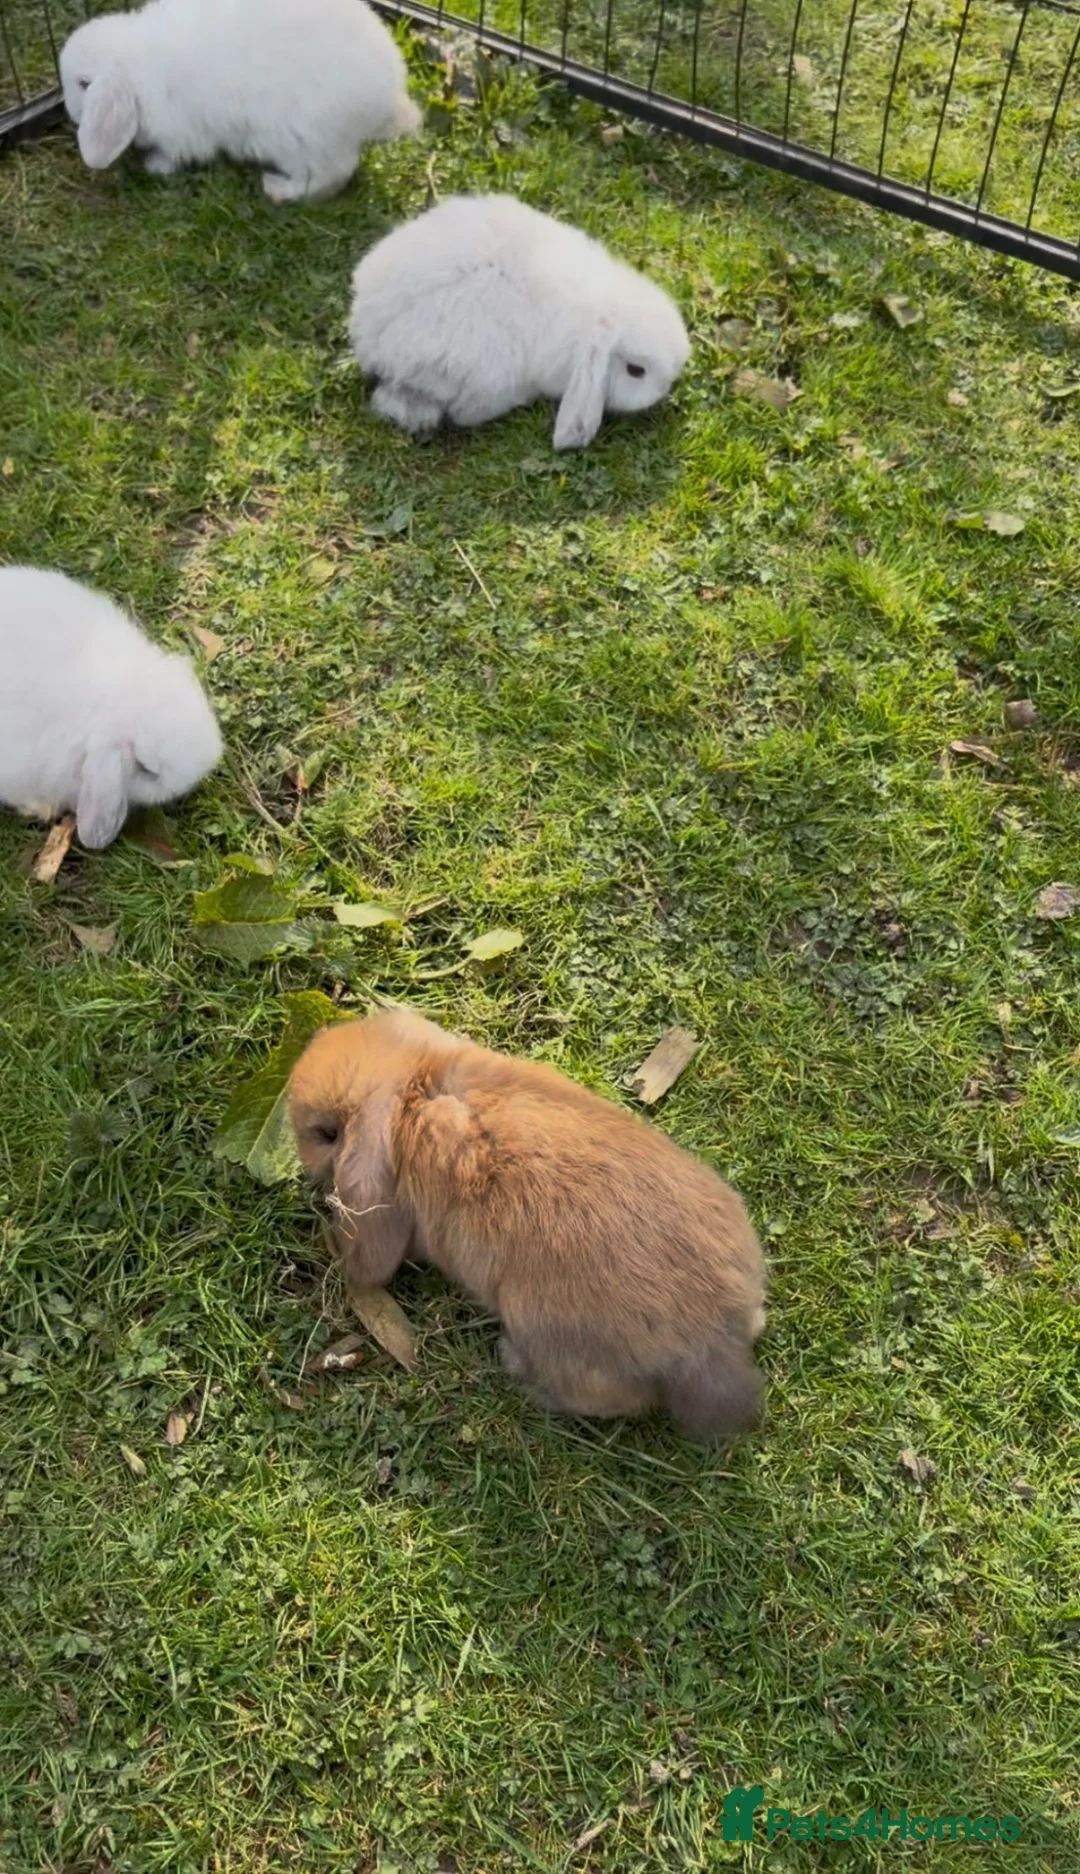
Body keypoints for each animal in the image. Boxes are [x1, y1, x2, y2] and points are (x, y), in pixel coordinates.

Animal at [60, 0, 421, 204]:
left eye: (84, 84)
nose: (71, 113)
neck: (137, 70)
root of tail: (386, 99)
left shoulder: (182, 131)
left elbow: (175, 153)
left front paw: (156, 166)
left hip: (301, 141)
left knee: (331, 175)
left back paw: (278, 190)